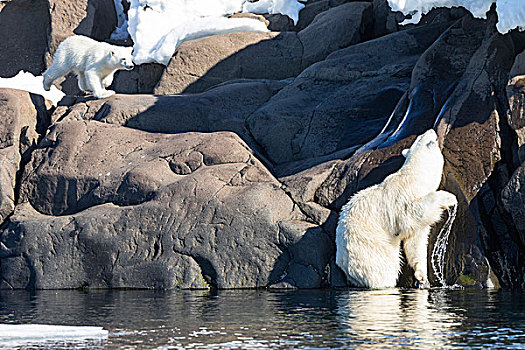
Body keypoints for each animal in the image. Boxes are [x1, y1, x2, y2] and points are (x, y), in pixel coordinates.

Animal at [338, 130, 456, 288]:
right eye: (423, 137)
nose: (431, 130)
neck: (414, 177)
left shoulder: (415, 226)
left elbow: (415, 240)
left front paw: (422, 276)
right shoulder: (404, 198)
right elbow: (414, 212)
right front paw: (449, 198)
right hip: (369, 248)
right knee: (383, 269)